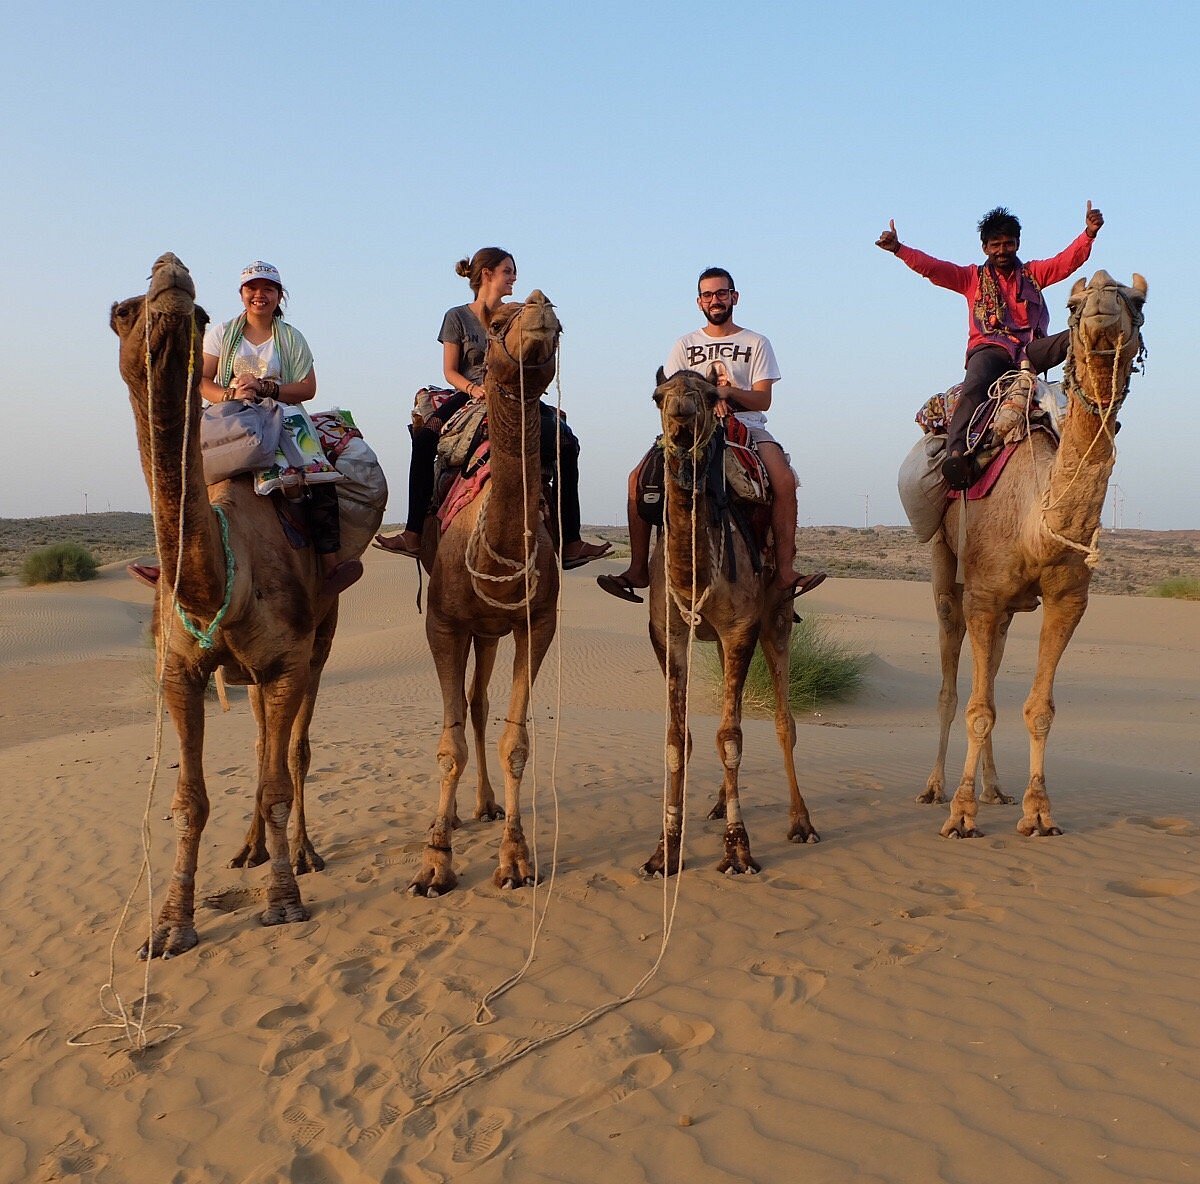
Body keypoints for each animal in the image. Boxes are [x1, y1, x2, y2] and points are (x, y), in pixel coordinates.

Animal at [111, 254, 355, 959]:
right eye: (121, 311)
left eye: (196, 314)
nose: (170, 271)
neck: (215, 581)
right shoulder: (177, 670)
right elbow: (189, 799)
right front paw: (170, 926)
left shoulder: (285, 662)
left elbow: (280, 779)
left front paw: (283, 902)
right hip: (245, 676)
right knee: (259, 742)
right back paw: (250, 850)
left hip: (320, 641)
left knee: (294, 749)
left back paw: (301, 854)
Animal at [410, 289, 564, 897]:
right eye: (498, 321)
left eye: (560, 325)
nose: (541, 308)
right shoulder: (443, 624)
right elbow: (446, 744)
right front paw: (434, 864)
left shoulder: (535, 624)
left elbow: (515, 743)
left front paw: (516, 860)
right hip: (470, 627)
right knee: (463, 709)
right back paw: (452, 815)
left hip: (492, 631)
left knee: (478, 705)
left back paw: (485, 805)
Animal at [638, 369, 816, 878]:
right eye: (657, 396)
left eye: (711, 395)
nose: (681, 417)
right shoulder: (668, 633)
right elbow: (678, 739)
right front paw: (665, 850)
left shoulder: (741, 629)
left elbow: (731, 736)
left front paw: (737, 849)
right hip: (719, 639)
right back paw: (718, 803)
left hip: (775, 617)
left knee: (784, 721)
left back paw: (801, 823)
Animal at [921, 272, 1147, 839]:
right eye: (1072, 303)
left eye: (1138, 300)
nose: (1103, 298)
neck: (1035, 525)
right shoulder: (982, 595)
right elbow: (977, 709)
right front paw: (961, 815)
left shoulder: (1067, 601)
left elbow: (1037, 708)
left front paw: (1039, 813)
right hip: (946, 566)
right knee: (950, 682)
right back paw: (934, 788)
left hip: (1002, 612)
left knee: (990, 674)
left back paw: (996, 789)